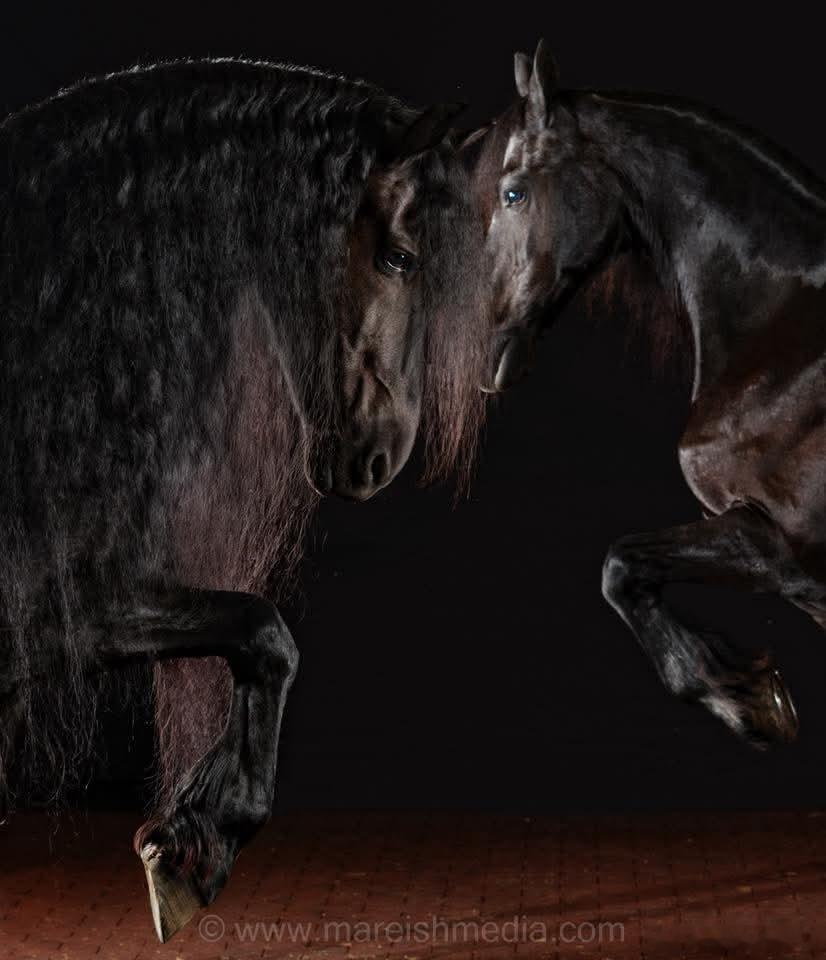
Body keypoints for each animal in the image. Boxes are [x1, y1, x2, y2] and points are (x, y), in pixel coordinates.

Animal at [0, 58, 487, 940]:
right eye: (400, 258)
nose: (379, 456)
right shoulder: (67, 602)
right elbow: (266, 633)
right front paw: (199, 841)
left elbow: (263, 639)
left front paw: (198, 838)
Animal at [463, 40, 826, 753]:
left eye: (513, 192)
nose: (484, 353)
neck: (785, 339)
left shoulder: (778, 545)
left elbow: (620, 565)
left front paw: (748, 701)